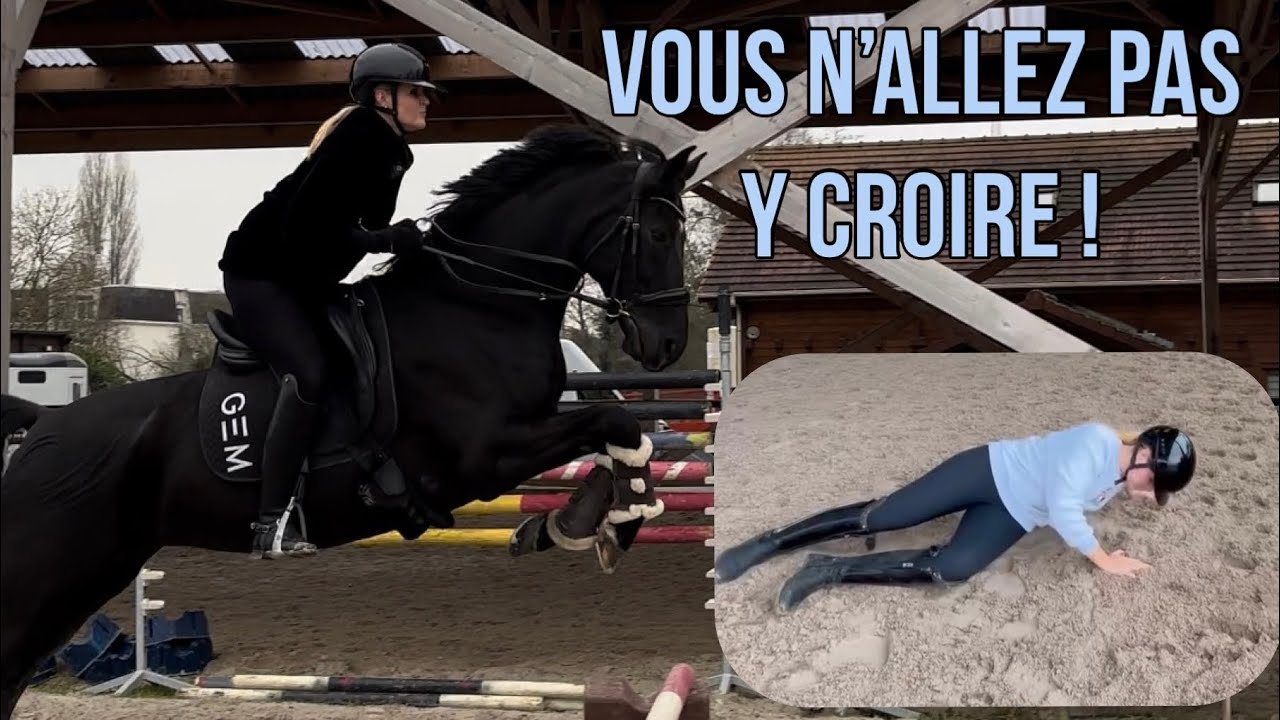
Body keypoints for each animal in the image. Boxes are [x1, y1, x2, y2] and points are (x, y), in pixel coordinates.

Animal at [0, 123, 706, 718]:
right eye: (660, 235)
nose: (667, 343)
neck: (478, 307)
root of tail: (42, 428)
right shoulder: (482, 456)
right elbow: (613, 421)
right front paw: (606, 522)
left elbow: (615, 432)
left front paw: (582, 522)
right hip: (52, 569)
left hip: (97, 568)